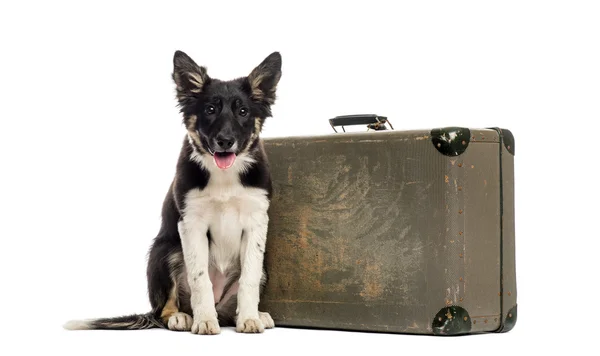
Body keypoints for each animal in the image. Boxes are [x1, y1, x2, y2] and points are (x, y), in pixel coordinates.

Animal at [62, 49, 282, 334]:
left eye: (243, 111)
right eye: (210, 110)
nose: (225, 141)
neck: (223, 175)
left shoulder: (256, 221)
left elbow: (249, 279)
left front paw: (249, 318)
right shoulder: (191, 223)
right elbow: (200, 279)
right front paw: (204, 320)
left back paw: (254, 315)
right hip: (164, 252)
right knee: (165, 309)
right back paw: (183, 317)